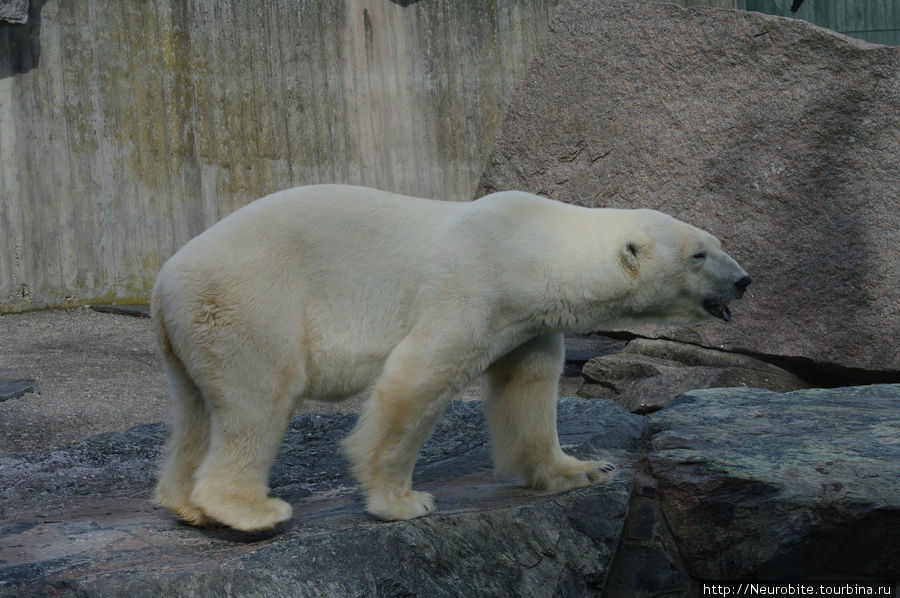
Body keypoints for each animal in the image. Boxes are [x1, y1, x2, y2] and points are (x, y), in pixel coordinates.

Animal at [151, 185, 748, 532]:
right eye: (699, 254)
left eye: (717, 243)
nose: (743, 280)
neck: (532, 247)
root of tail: (161, 283)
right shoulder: (472, 288)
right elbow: (417, 379)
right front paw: (404, 502)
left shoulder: (526, 320)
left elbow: (528, 389)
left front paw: (582, 469)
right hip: (250, 304)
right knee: (259, 398)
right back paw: (249, 510)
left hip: (194, 332)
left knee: (197, 410)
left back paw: (185, 503)